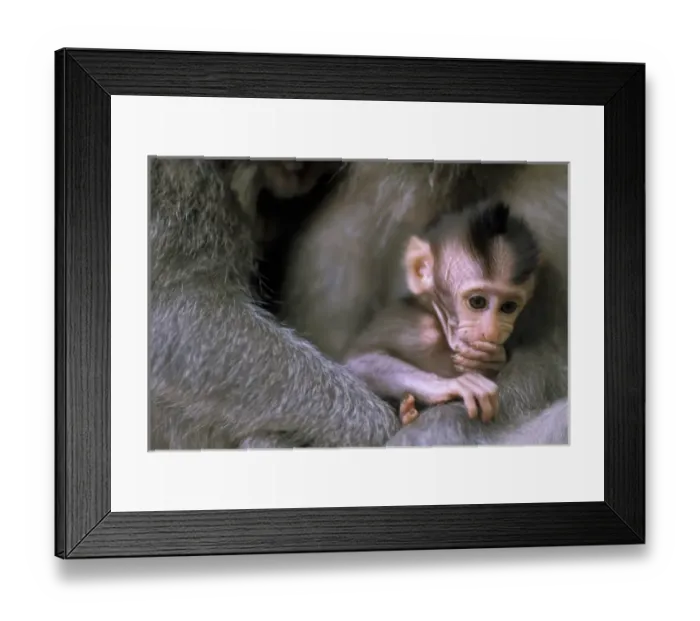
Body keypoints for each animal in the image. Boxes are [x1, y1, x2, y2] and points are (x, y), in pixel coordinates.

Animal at [342, 201, 541, 426]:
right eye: (477, 302)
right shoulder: (414, 328)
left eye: (508, 307)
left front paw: (494, 357)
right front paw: (451, 385)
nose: (491, 332)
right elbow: (359, 361)